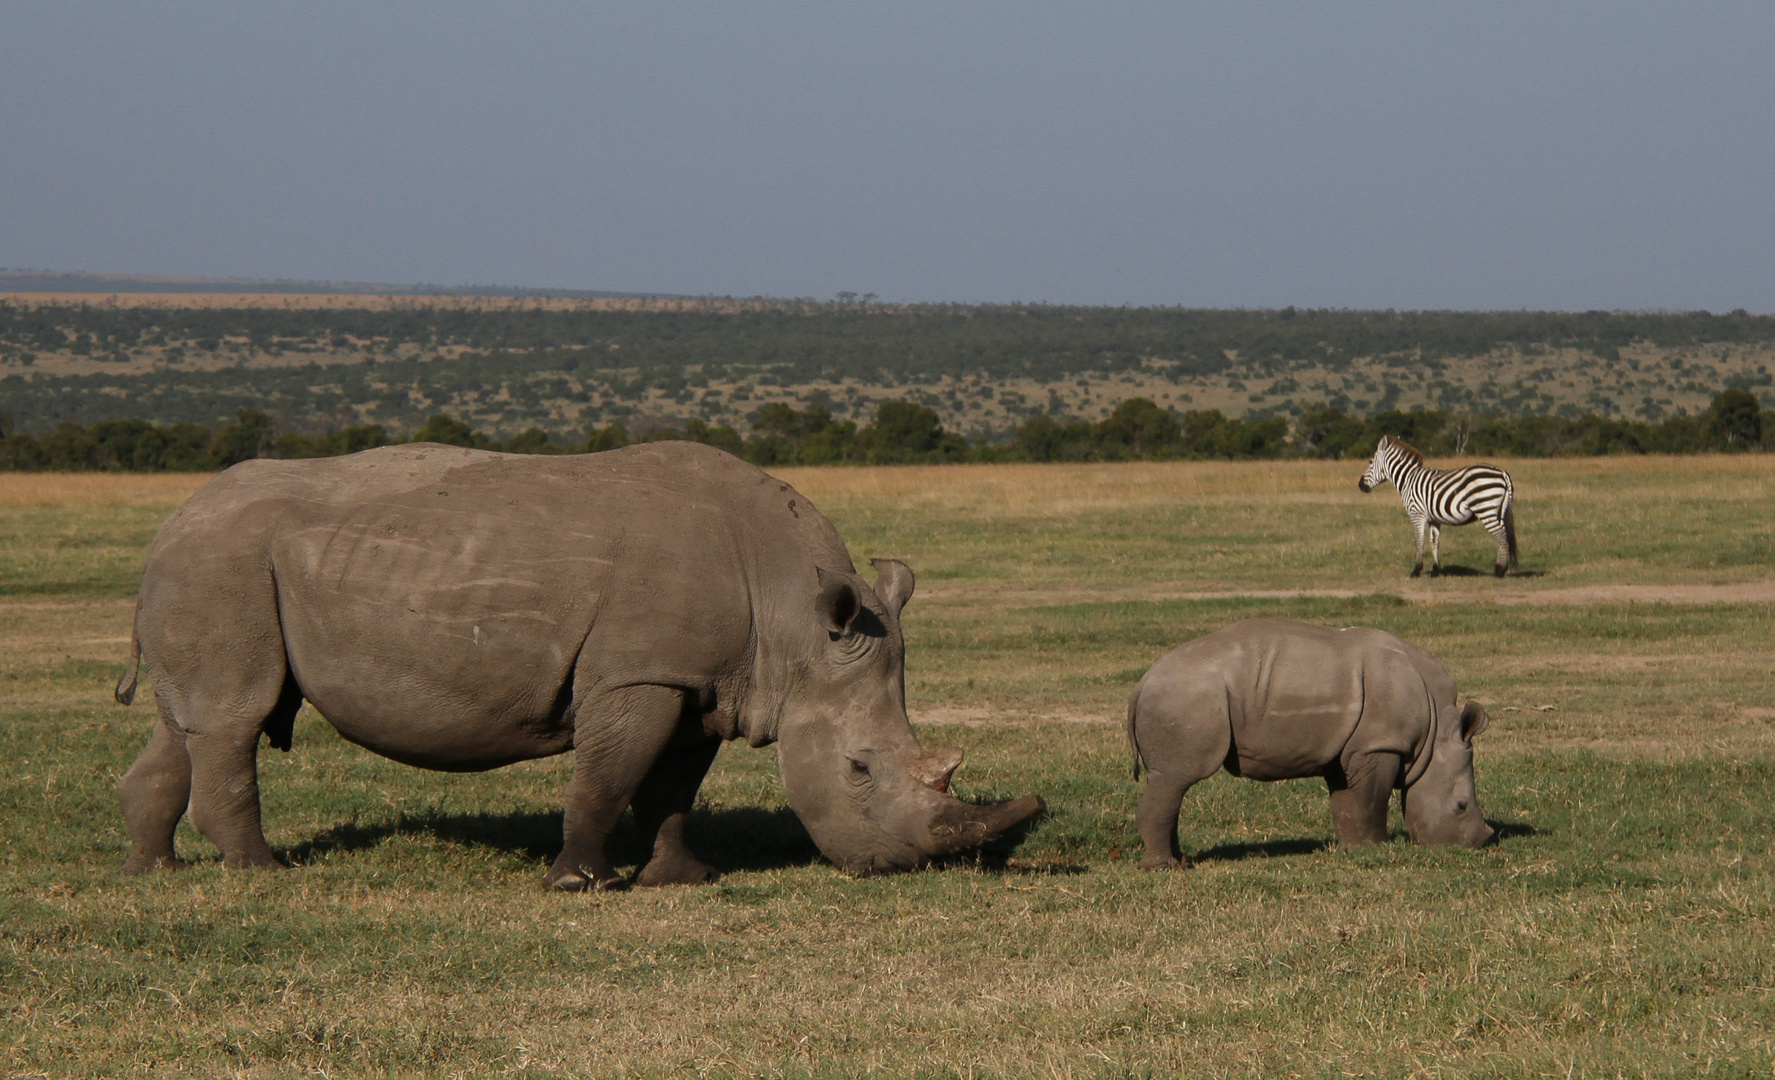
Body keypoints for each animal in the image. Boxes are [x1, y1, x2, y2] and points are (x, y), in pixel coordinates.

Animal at [1356, 435, 1512, 579]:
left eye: (1370, 462)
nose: (1360, 485)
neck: (1408, 479)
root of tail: (1502, 473)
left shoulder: (1416, 513)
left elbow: (1418, 540)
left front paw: (1416, 570)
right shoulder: (1433, 518)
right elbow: (1434, 542)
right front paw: (1435, 570)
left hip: (1485, 509)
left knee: (1501, 535)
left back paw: (1500, 570)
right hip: (1498, 511)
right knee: (1503, 534)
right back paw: (1500, 568)